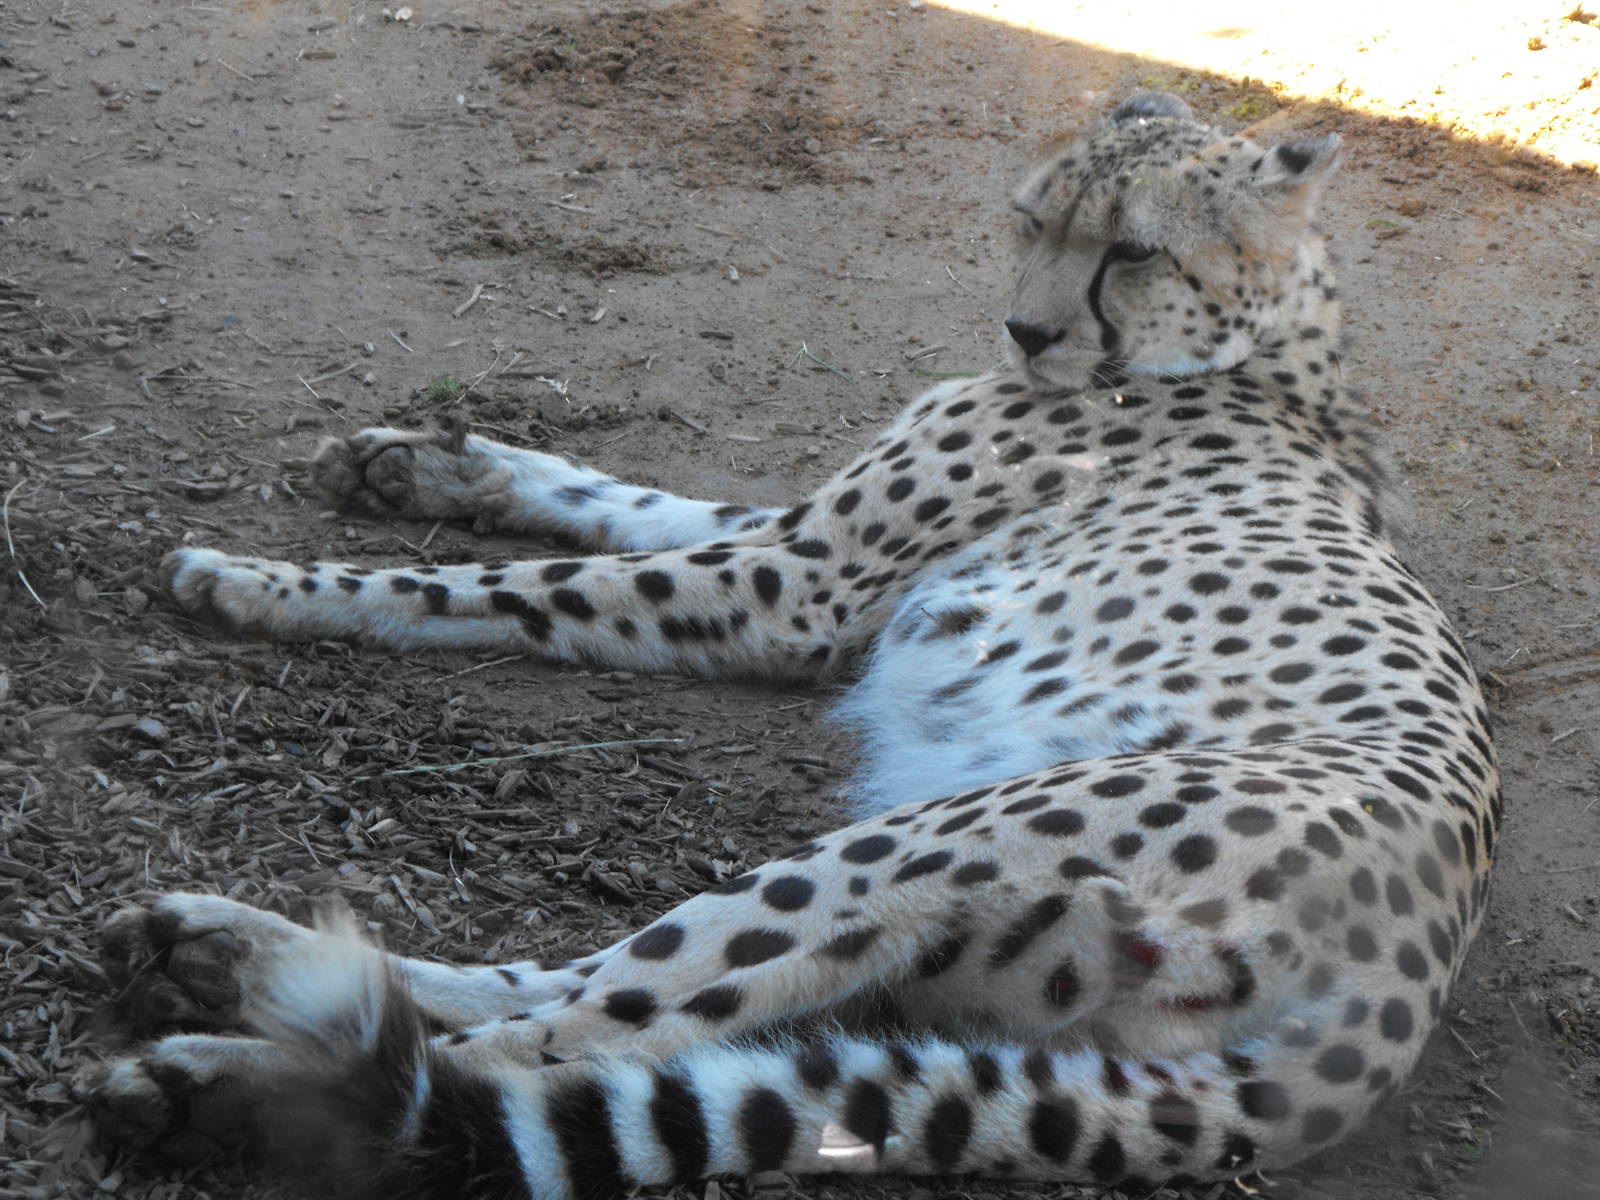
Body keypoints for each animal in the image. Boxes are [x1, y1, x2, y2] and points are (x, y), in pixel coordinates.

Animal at [90, 92, 1498, 1199]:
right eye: (1032, 220)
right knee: (576, 996)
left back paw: (217, 1078)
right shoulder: (797, 548)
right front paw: (422, 464)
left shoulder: (796, 585)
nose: (1027, 333)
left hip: (934, 839)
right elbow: (617, 498)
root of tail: (1407, 984)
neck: (1263, 357)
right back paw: (222, 951)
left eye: (1134, 251)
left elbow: (524, 584)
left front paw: (268, 582)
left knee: (556, 1046)